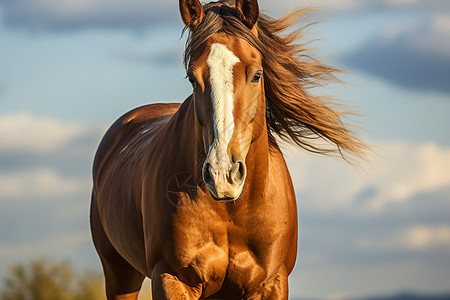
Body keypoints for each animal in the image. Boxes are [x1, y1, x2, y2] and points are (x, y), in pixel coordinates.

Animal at [90, 0, 366, 298]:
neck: (233, 209)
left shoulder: (272, 283)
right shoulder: (171, 277)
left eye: (257, 74)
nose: (223, 174)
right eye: (192, 77)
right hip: (119, 274)